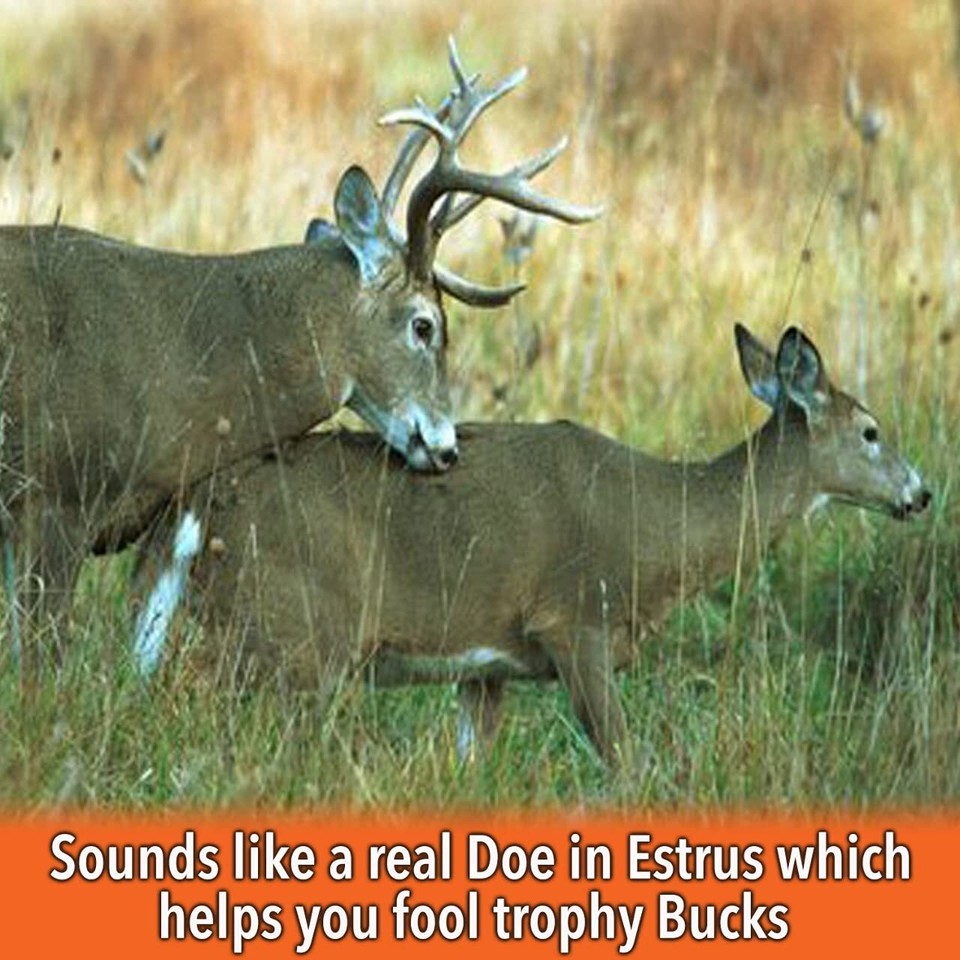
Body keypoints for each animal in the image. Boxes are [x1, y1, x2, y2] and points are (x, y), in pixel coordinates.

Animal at [137, 325, 931, 766]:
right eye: (870, 431)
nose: (920, 493)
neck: (660, 525)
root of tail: (199, 504)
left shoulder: (485, 666)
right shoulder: (575, 620)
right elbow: (629, 762)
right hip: (293, 625)